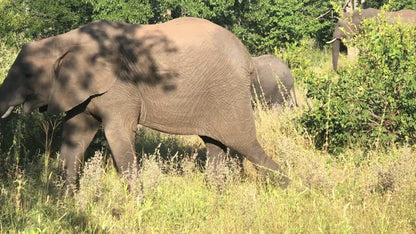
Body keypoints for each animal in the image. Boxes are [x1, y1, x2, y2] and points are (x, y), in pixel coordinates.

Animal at [0, 16, 290, 192]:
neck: (64, 40)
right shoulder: (82, 92)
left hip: (230, 93)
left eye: (27, 73)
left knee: (244, 142)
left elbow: (117, 135)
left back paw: (288, 187)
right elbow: (76, 136)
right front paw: (66, 201)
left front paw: (137, 201)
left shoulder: (119, 88)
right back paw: (216, 193)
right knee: (215, 144)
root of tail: (248, 58)